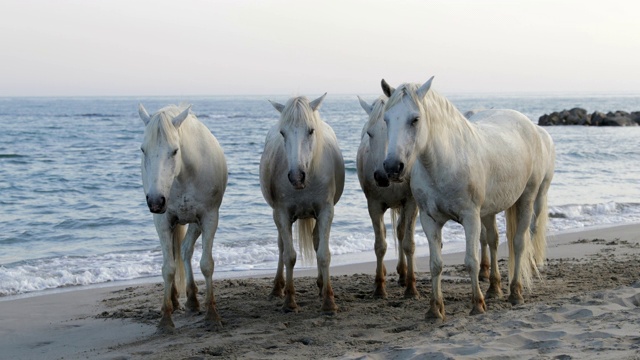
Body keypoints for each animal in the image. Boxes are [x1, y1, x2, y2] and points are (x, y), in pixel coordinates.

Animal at [139, 103, 229, 332]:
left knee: (186, 250)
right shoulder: (163, 221)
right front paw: (165, 318)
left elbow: (206, 264)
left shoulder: (208, 217)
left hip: (195, 223)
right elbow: (168, 268)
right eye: (143, 150)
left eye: (174, 150)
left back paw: (192, 299)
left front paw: (212, 314)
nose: (155, 201)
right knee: (176, 254)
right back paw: (175, 299)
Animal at [258, 94, 344, 314]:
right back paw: (277, 288)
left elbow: (323, 254)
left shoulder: (326, 211)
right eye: (283, 132)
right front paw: (289, 301)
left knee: (316, 242)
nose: (296, 177)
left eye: (311, 130)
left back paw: (321, 285)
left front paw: (329, 301)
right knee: (281, 246)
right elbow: (289, 255)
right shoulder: (282, 213)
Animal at [356, 95, 420, 298]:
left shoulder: (410, 203)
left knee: (401, 232)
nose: (382, 175)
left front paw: (411, 287)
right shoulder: (374, 205)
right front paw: (379, 287)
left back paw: (404, 274)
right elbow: (380, 244)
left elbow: (408, 242)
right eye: (370, 134)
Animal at [380, 77, 556, 320]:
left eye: (415, 119)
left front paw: (477, 304)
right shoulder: (429, 219)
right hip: (490, 210)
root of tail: (530, 126)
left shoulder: (470, 217)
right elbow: (436, 264)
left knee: (519, 243)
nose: (392, 167)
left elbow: (471, 260)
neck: (444, 163)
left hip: (527, 199)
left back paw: (515, 293)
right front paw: (435, 309)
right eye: (386, 119)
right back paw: (494, 288)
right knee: (493, 240)